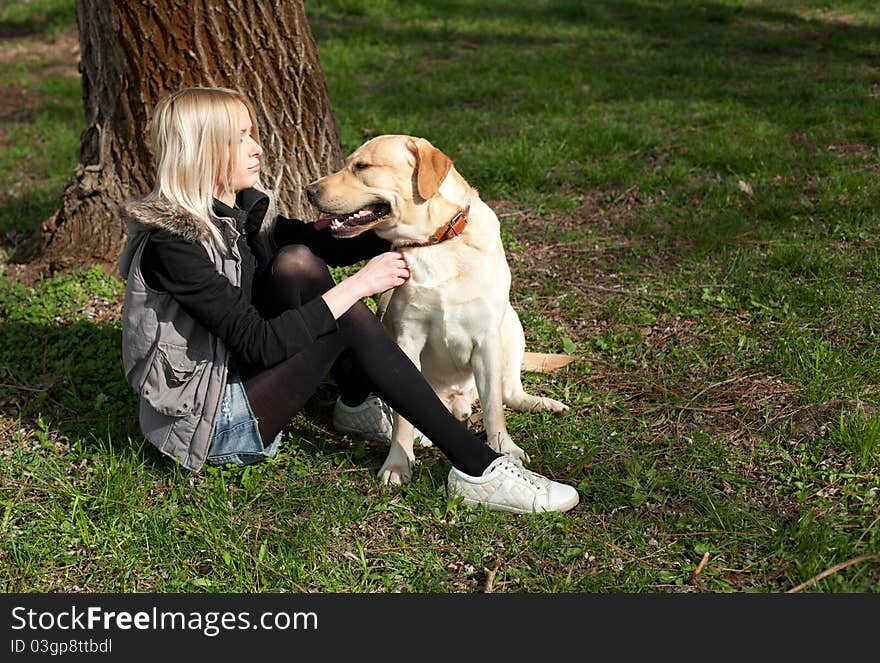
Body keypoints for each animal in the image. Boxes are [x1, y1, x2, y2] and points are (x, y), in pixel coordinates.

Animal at [306, 136, 568, 488]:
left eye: (362, 166)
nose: (309, 190)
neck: (435, 243)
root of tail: (458, 399)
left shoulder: (487, 339)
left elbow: (494, 408)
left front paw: (505, 448)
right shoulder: (407, 339)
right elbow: (404, 416)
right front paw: (398, 462)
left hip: (511, 326)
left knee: (509, 393)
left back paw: (544, 404)